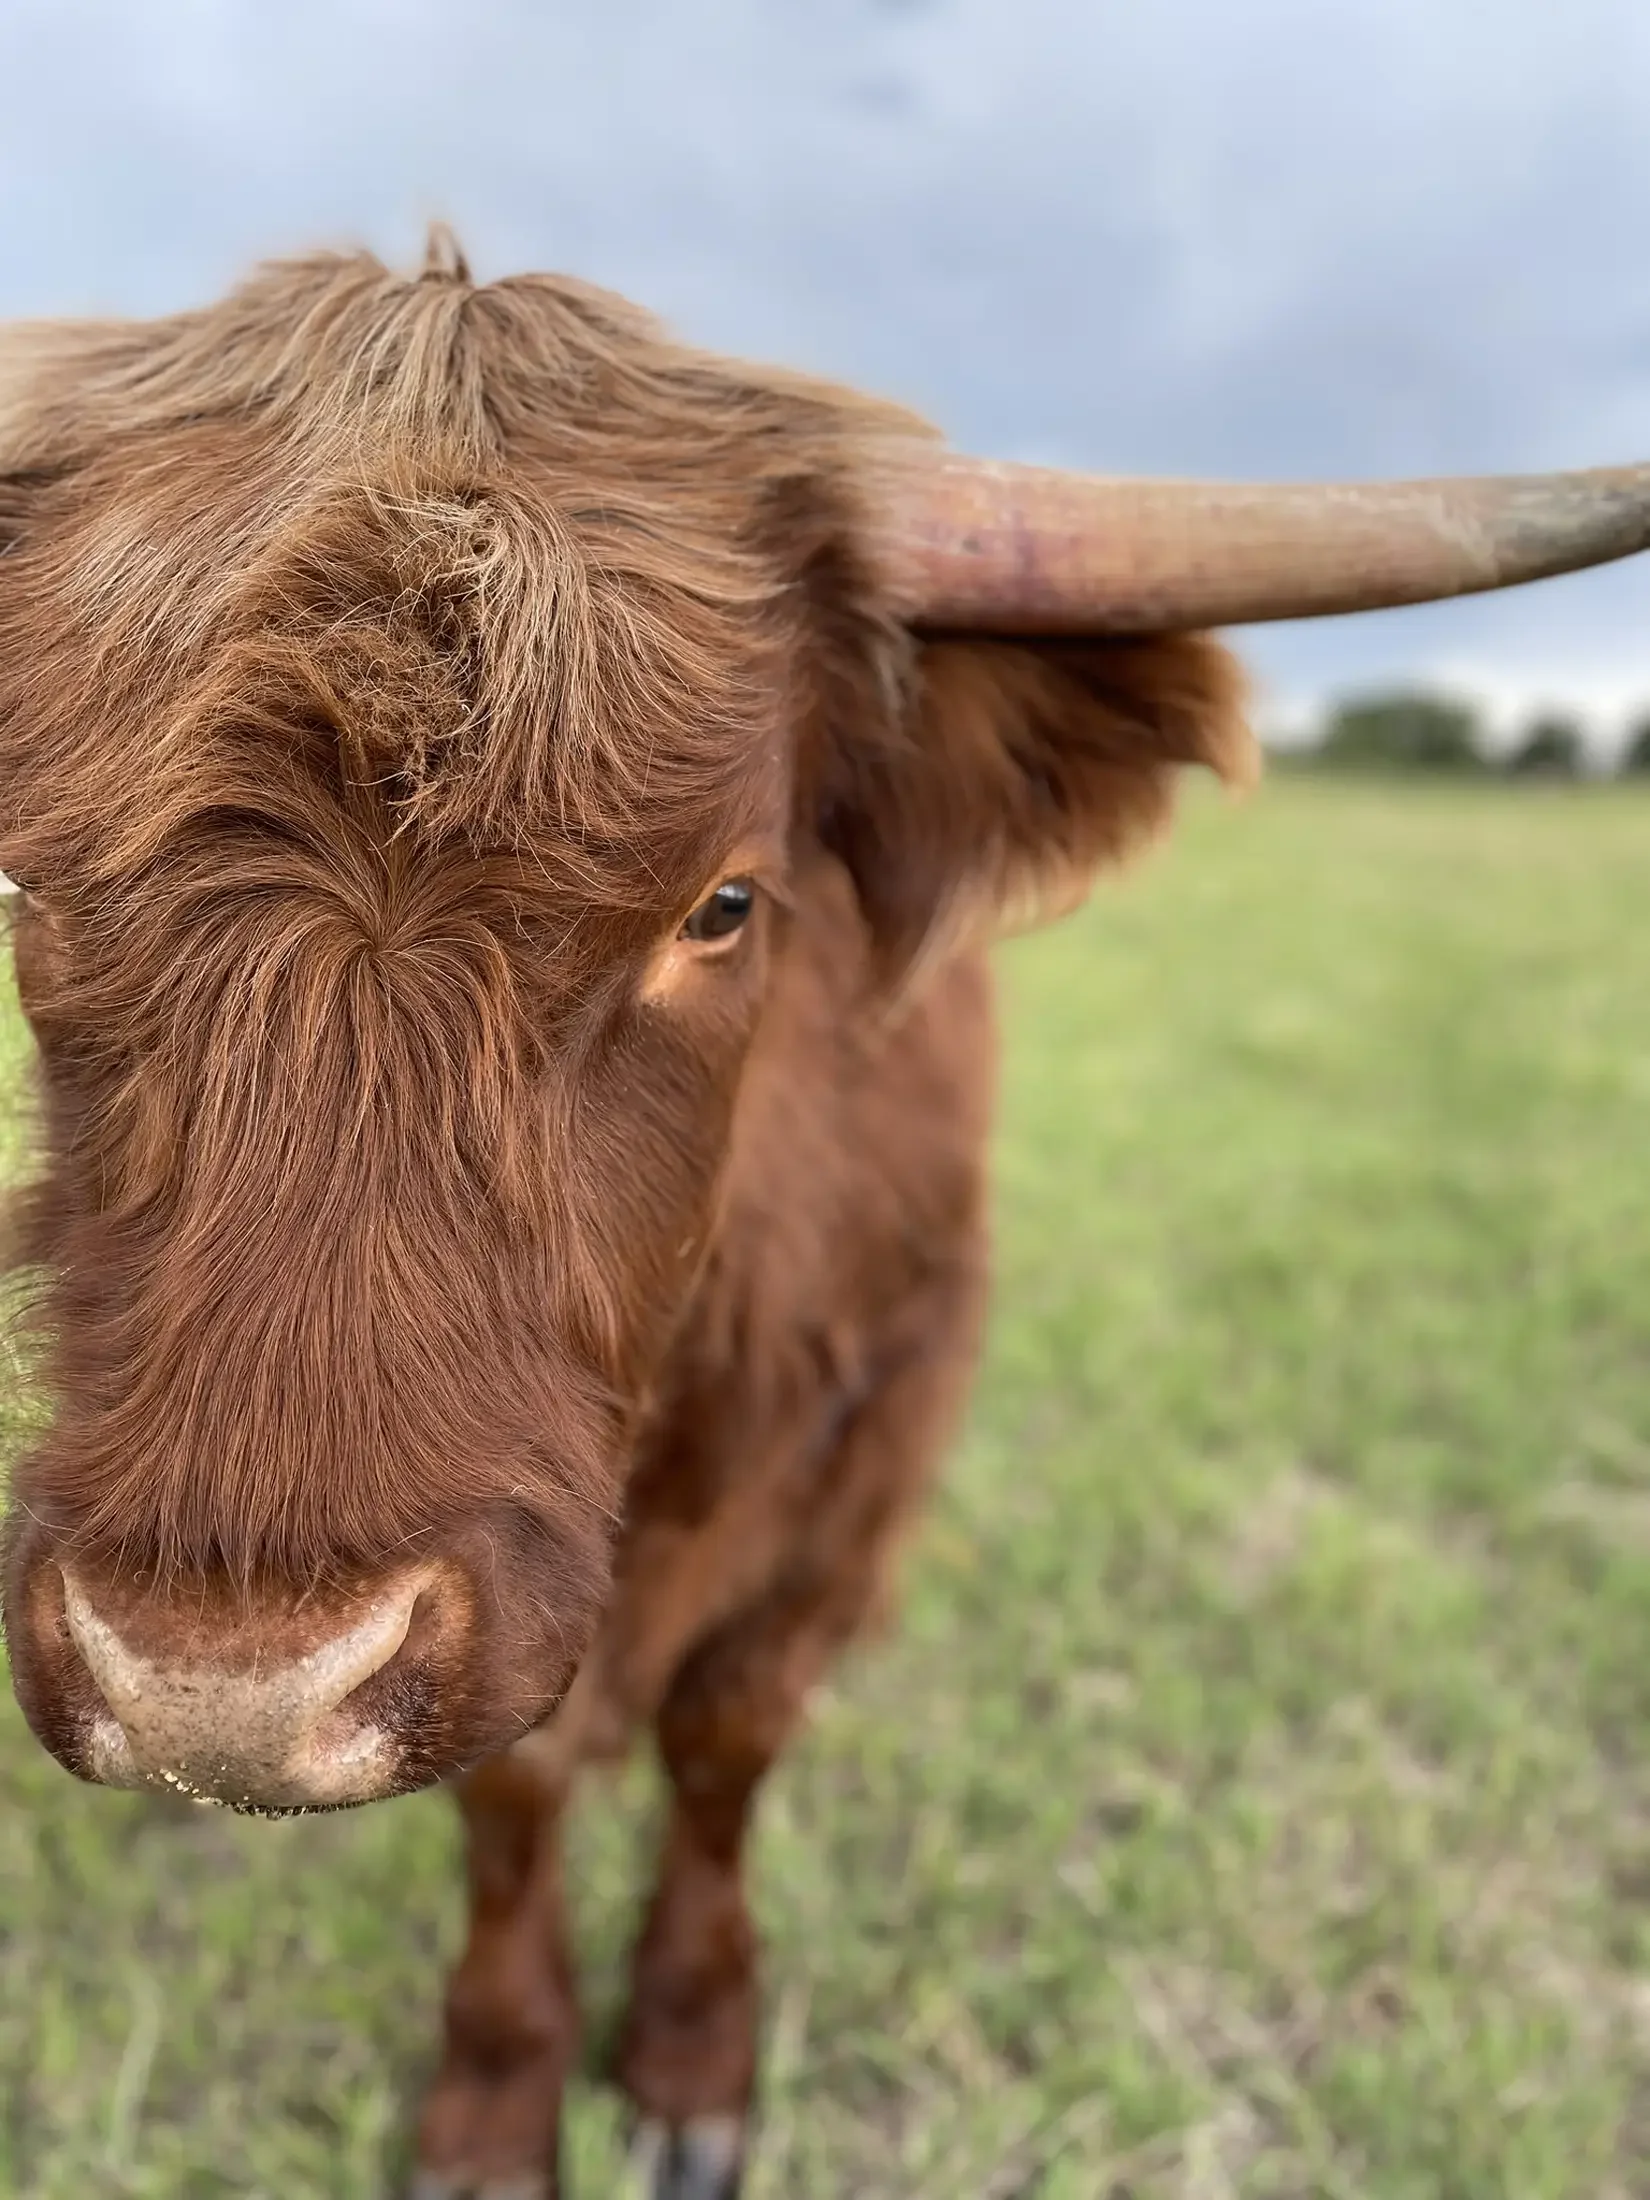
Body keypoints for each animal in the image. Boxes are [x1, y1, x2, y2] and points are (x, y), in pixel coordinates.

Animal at [1, 231, 1645, 2199]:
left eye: (724, 903)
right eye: (20, 881)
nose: (222, 1692)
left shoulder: (884, 1405)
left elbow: (725, 1734)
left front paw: (690, 2049)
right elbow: (522, 1787)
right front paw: (499, 2085)